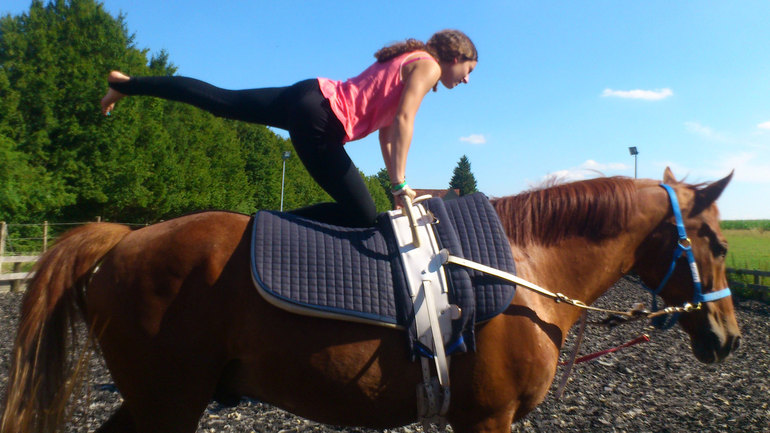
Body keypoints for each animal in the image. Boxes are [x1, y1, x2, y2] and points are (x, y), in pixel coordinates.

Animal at [1, 167, 740, 433]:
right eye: (717, 241)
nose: (730, 337)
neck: (527, 266)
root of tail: (126, 238)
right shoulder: (487, 419)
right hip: (169, 403)